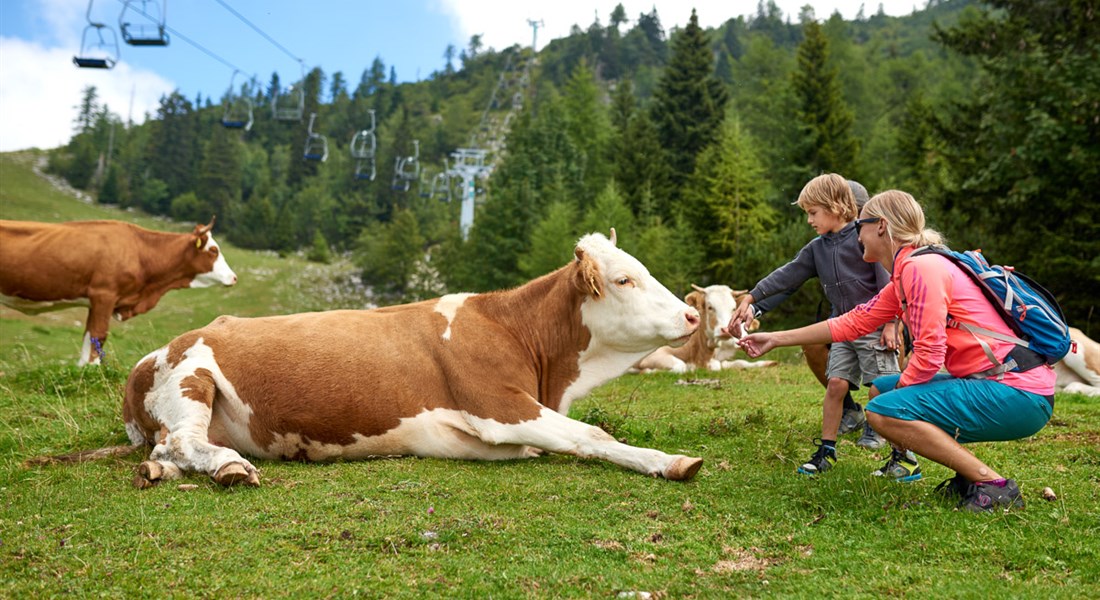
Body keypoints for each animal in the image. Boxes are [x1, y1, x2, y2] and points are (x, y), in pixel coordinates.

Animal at [0, 216, 236, 363]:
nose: (233, 277)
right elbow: (98, 336)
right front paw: (90, 369)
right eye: (213, 250)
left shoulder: (96, 301)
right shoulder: (104, 294)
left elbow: (89, 336)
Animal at [113, 228, 704, 486]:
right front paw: (667, 461)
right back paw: (231, 466)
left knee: (168, 448)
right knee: (183, 439)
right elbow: (592, 434)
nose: (692, 316)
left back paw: (162, 470)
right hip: (190, 378)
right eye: (624, 279)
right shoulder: (498, 407)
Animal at [633, 284, 778, 372]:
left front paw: (769, 363)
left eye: (733, 308)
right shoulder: (653, 355)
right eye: (710, 307)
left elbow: (737, 362)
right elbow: (681, 366)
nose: (726, 330)